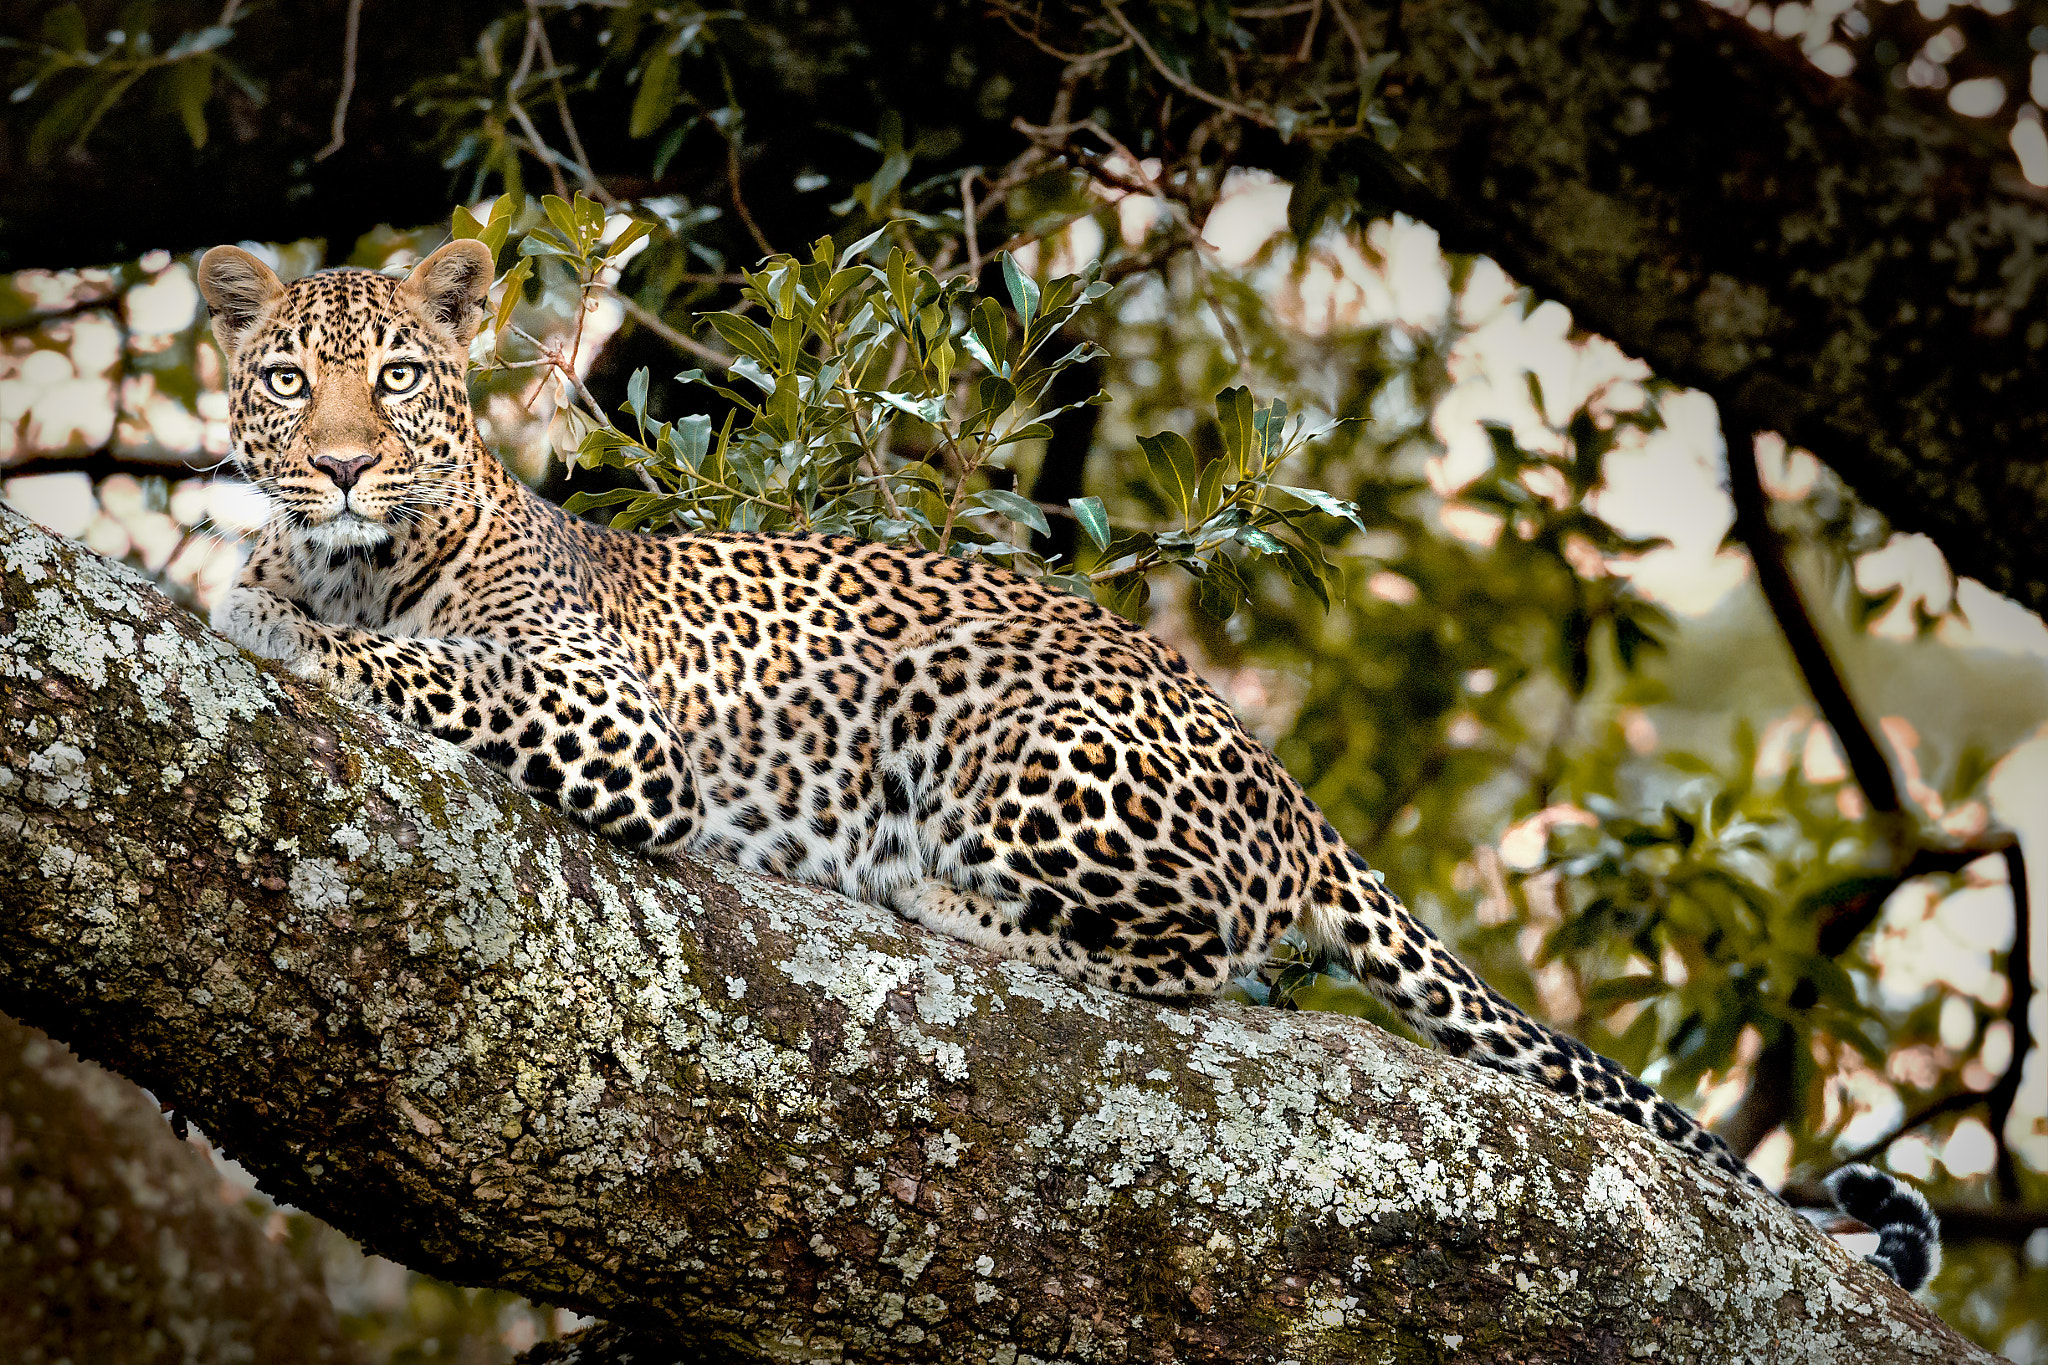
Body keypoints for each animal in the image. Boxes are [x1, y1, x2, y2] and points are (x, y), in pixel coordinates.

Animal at [199, 237, 1941, 1301]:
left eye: (401, 377)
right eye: (287, 377)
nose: (340, 462)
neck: (359, 556)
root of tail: (1293, 790)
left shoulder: (615, 722)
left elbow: (426, 667)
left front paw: (266, 623)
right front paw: (261, 593)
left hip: (1008, 731)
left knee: (1205, 952)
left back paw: (949, 905)